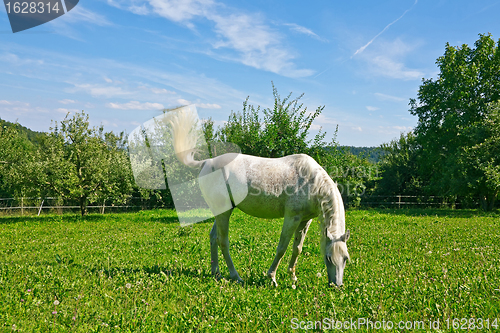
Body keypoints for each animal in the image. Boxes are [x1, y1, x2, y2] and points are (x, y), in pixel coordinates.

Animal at [166, 105, 350, 286]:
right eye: (328, 257)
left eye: (346, 258)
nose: (337, 285)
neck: (311, 182)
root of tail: (207, 162)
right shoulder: (292, 218)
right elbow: (282, 247)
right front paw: (272, 277)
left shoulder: (305, 221)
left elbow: (297, 248)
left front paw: (292, 277)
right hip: (223, 212)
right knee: (222, 241)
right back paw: (236, 277)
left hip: (222, 211)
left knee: (213, 237)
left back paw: (216, 273)